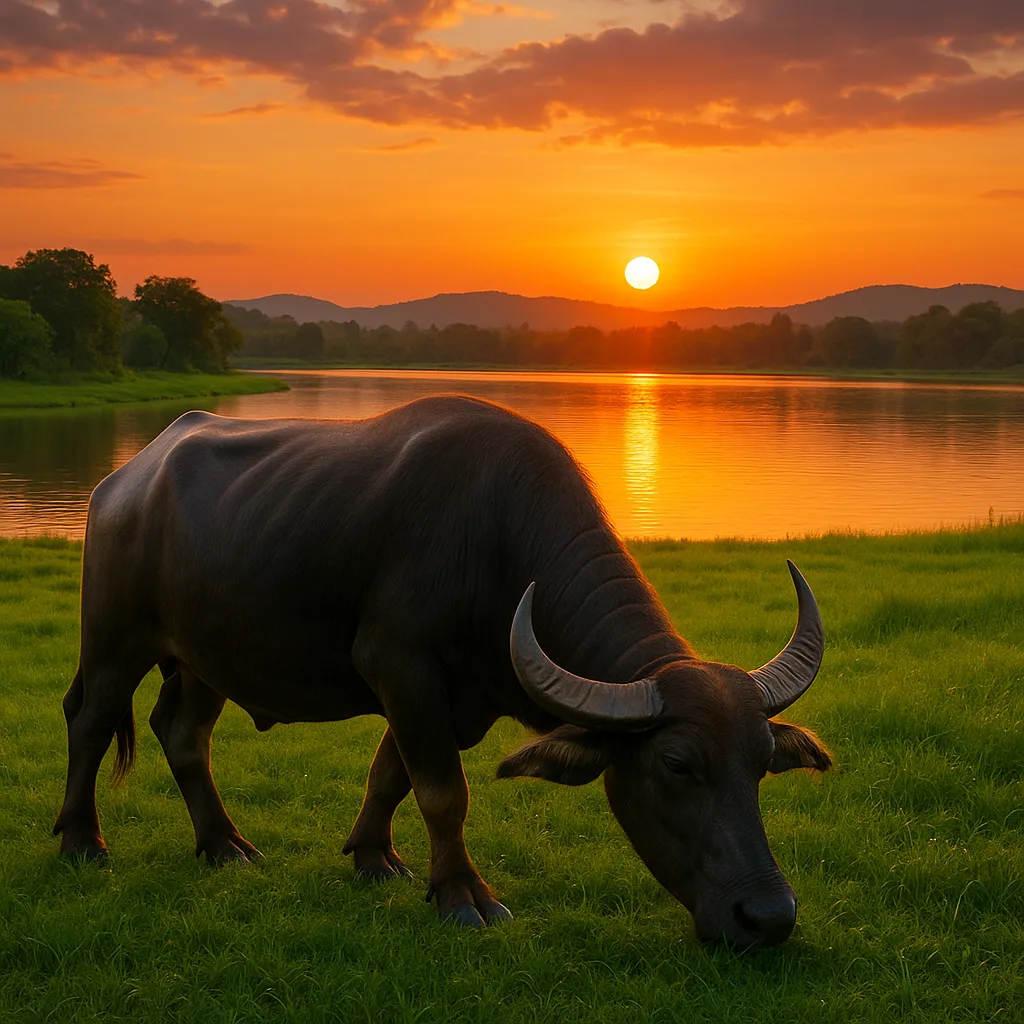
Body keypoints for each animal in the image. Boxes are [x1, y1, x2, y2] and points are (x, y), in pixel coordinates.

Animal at [54, 395, 830, 946]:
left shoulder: (458, 700)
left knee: (182, 733)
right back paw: (82, 840)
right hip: (114, 638)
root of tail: (125, 480)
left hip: (204, 658)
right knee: (90, 720)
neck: (498, 541)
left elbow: (391, 774)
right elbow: (441, 791)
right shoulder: (404, 668)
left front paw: (374, 858)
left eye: (762, 762)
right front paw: (463, 896)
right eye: (676, 765)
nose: (769, 917)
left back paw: (223, 845)